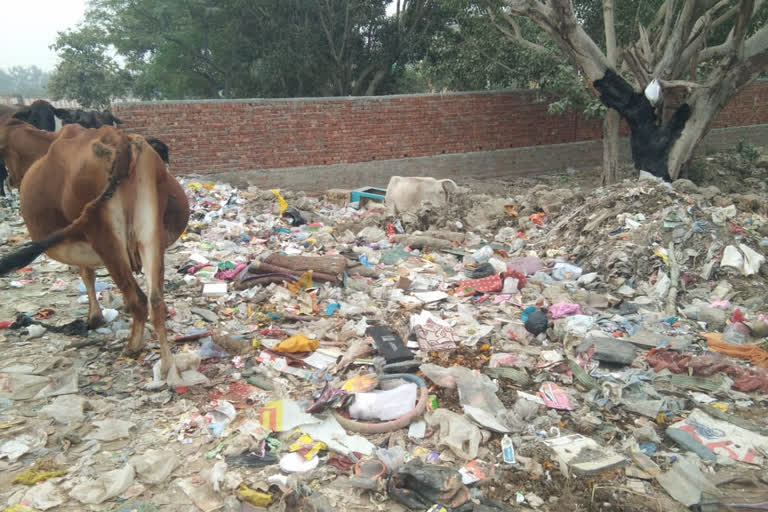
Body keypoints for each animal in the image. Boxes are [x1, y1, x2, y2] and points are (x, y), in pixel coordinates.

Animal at [0, 124, 190, 378]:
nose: (10, 180)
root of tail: (120, 141)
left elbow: (86, 275)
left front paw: (94, 317)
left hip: (103, 234)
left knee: (138, 300)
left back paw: (133, 347)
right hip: (150, 233)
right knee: (155, 300)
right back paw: (168, 366)